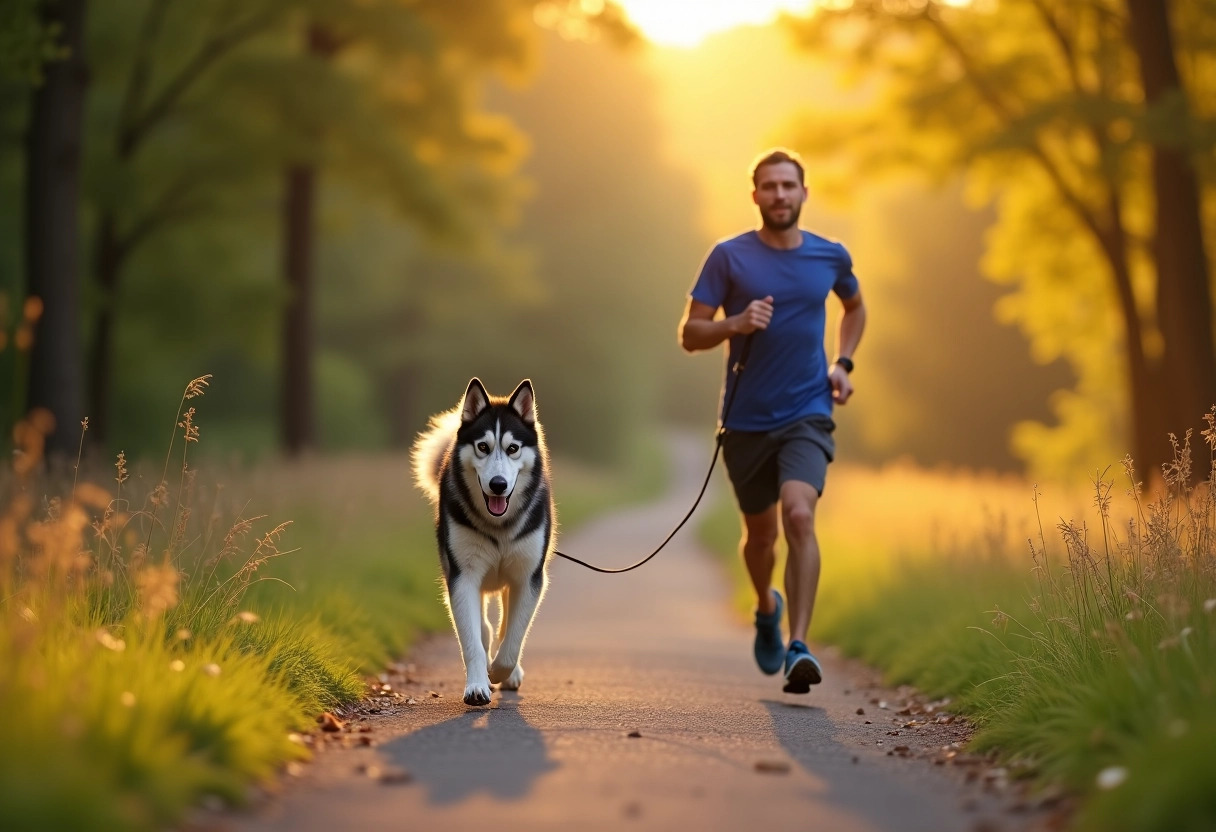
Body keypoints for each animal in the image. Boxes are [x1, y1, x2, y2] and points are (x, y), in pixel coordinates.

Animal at [413, 379, 556, 705]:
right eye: (483, 447)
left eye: (513, 448)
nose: (498, 485)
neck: (499, 527)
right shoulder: (462, 577)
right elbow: (473, 641)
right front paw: (478, 684)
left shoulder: (528, 578)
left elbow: (512, 639)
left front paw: (501, 672)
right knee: (485, 628)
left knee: (503, 627)